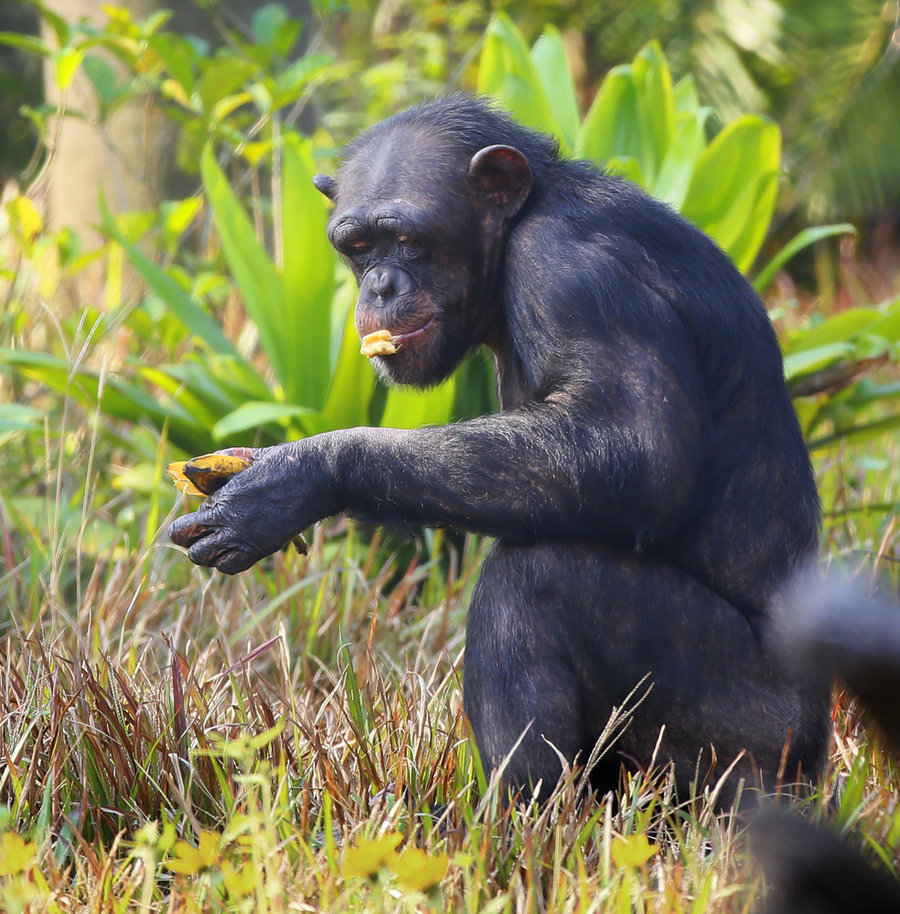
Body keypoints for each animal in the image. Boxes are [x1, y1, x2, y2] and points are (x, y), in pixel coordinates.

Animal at [171, 94, 828, 804]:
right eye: (358, 247)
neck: (517, 230)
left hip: (746, 735)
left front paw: (297, 478)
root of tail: (810, 759)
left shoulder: (569, 270)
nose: (379, 286)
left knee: (536, 578)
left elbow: (635, 448)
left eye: (406, 240)